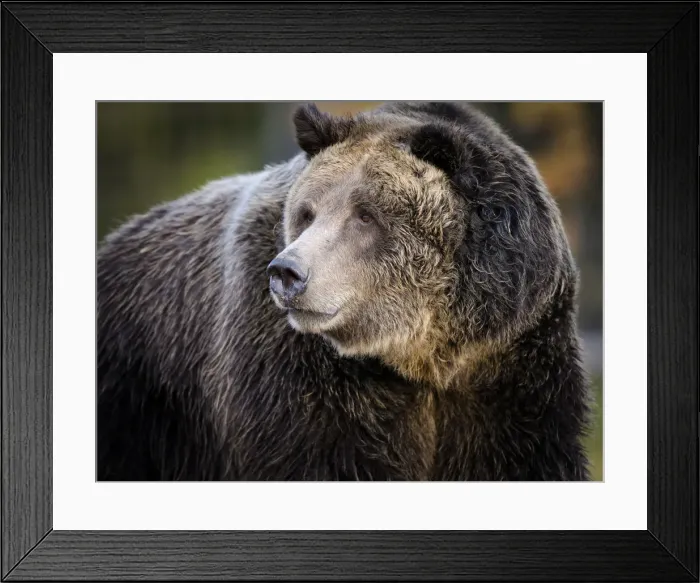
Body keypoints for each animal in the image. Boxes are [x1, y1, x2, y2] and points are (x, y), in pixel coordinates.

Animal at [97, 101, 591, 481]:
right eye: (307, 212)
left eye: (365, 214)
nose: (286, 273)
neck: (427, 354)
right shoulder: (300, 374)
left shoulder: (514, 359)